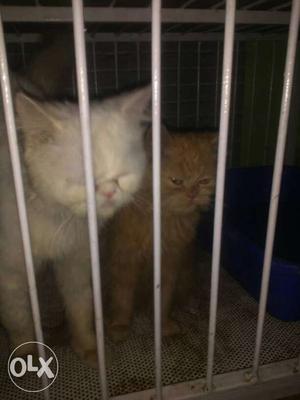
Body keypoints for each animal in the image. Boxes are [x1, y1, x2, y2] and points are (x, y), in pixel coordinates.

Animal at [0, 86, 150, 368]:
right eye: (84, 182)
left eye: (121, 176)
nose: (109, 192)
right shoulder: (9, 272)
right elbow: (18, 315)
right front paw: (25, 356)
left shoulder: (76, 260)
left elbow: (80, 304)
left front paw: (88, 346)